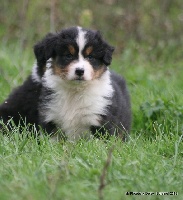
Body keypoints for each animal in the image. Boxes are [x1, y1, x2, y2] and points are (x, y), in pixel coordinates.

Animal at [0, 26, 132, 141]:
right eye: (68, 55)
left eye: (90, 57)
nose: (80, 71)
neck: (74, 91)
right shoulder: (51, 118)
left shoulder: (100, 120)